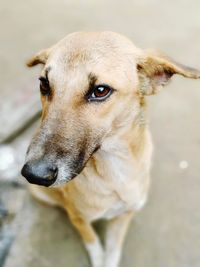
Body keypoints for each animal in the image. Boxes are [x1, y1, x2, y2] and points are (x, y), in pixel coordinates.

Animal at [20, 31, 200, 267]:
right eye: (44, 84)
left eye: (100, 91)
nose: (34, 174)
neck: (114, 170)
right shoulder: (81, 219)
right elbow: (94, 245)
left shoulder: (124, 217)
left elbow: (113, 251)